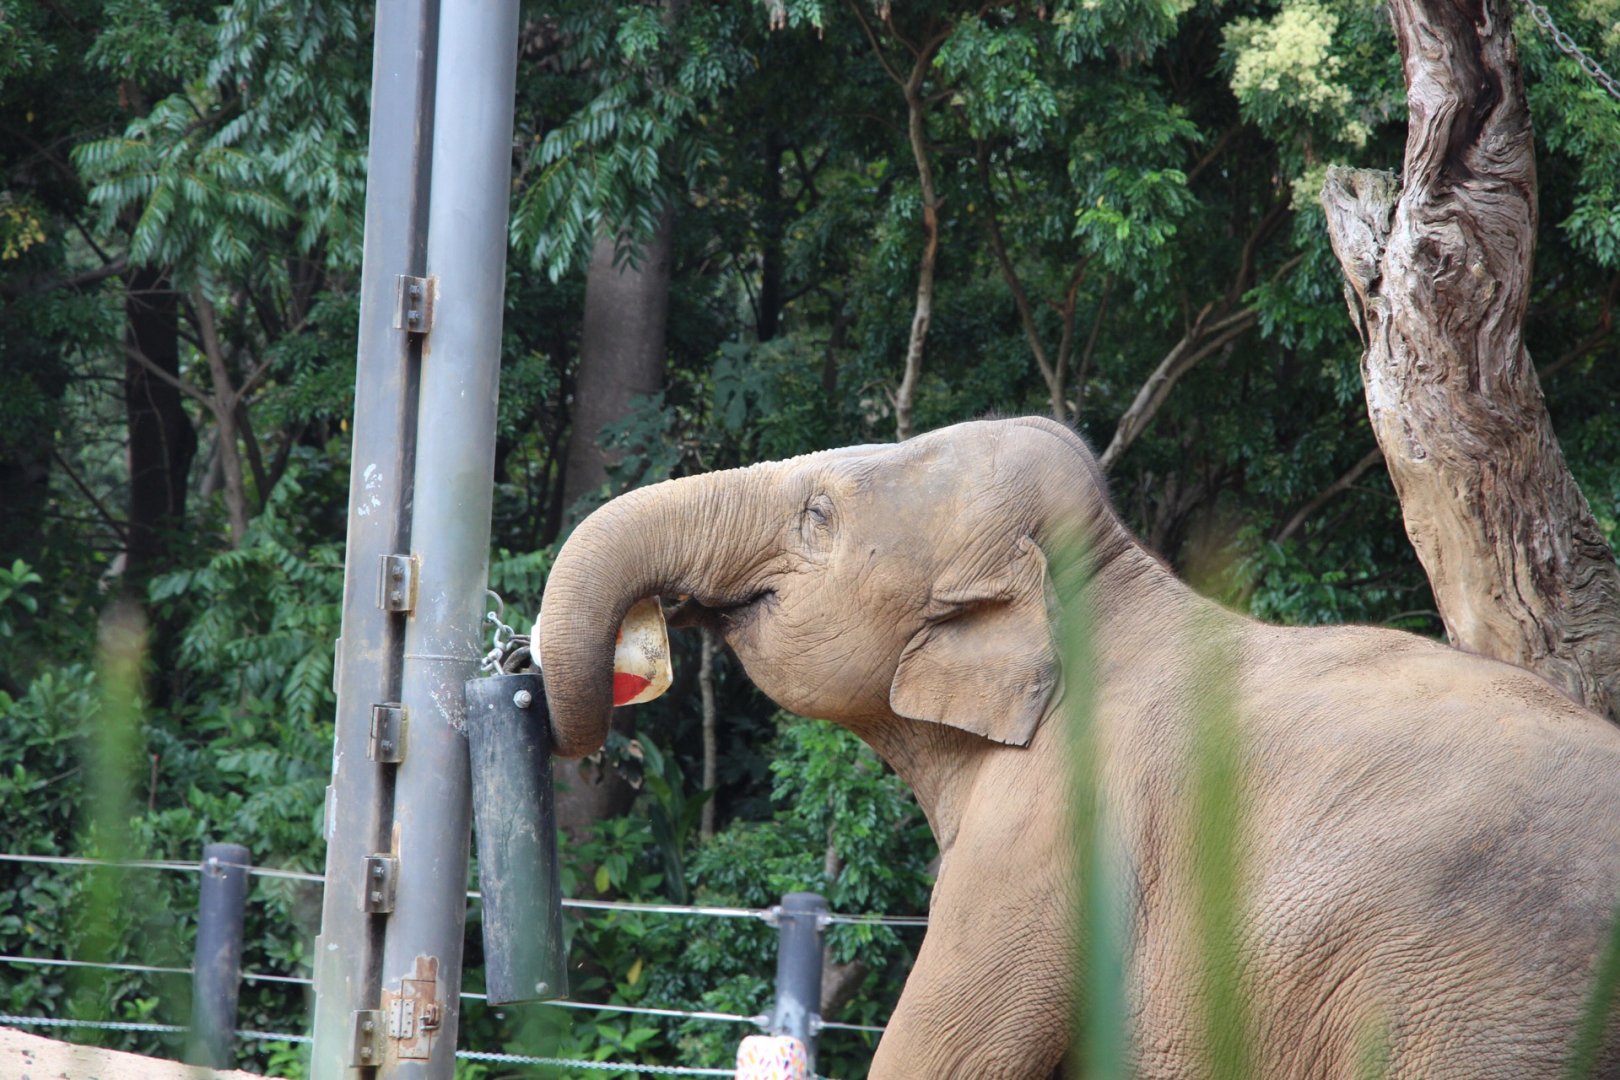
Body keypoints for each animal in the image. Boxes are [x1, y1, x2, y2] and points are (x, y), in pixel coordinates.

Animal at [537, 415, 1620, 1078]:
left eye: (817, 515)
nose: (589, 737)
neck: (1109, 582)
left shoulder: (1046, 844)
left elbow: (942, 1060)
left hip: (1488, 1011)